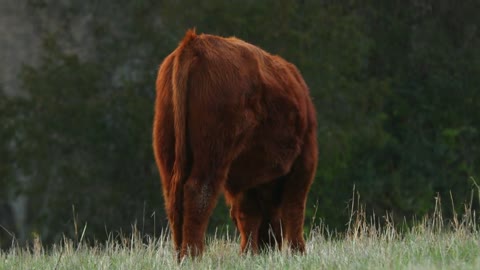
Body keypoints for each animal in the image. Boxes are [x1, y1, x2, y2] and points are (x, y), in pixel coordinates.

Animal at [154, 28, 316, 258]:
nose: (268, 246)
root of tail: (195, 43)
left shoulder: (245, 181)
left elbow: (247, 214)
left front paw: (248, 253)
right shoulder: (305, 160)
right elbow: (294, 207)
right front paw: (297, 251)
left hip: (168, 150)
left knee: (173, 197)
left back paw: (179, 254)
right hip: (213, 153)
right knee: (198, 192)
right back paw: (193, 255)